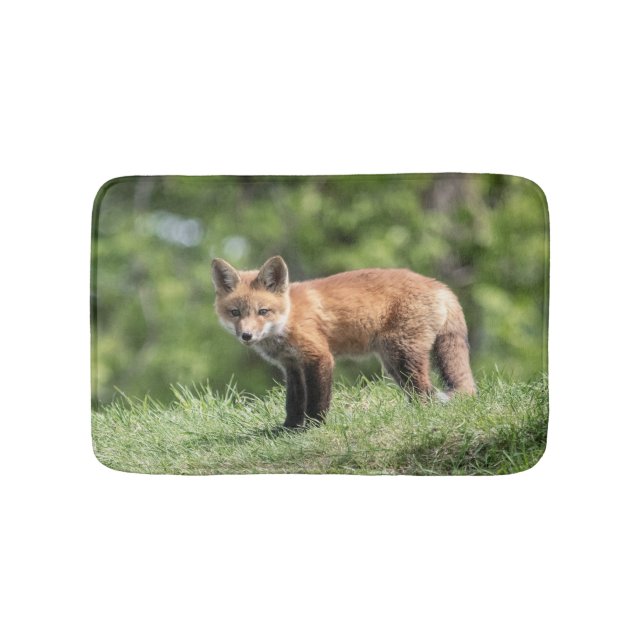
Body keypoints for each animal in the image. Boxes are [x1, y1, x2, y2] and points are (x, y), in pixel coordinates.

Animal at [211, 256, 476, 428]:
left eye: (263, 311)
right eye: (235, 313)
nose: (246, 336)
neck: (289, 317)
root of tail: (439, 285)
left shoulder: (318, 357)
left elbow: (317, 399)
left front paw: (314, 428)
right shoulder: (292, 365)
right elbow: (293, 402)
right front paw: (288, 429)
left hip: (402, 356)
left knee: (425, 393)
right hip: (393, 363)